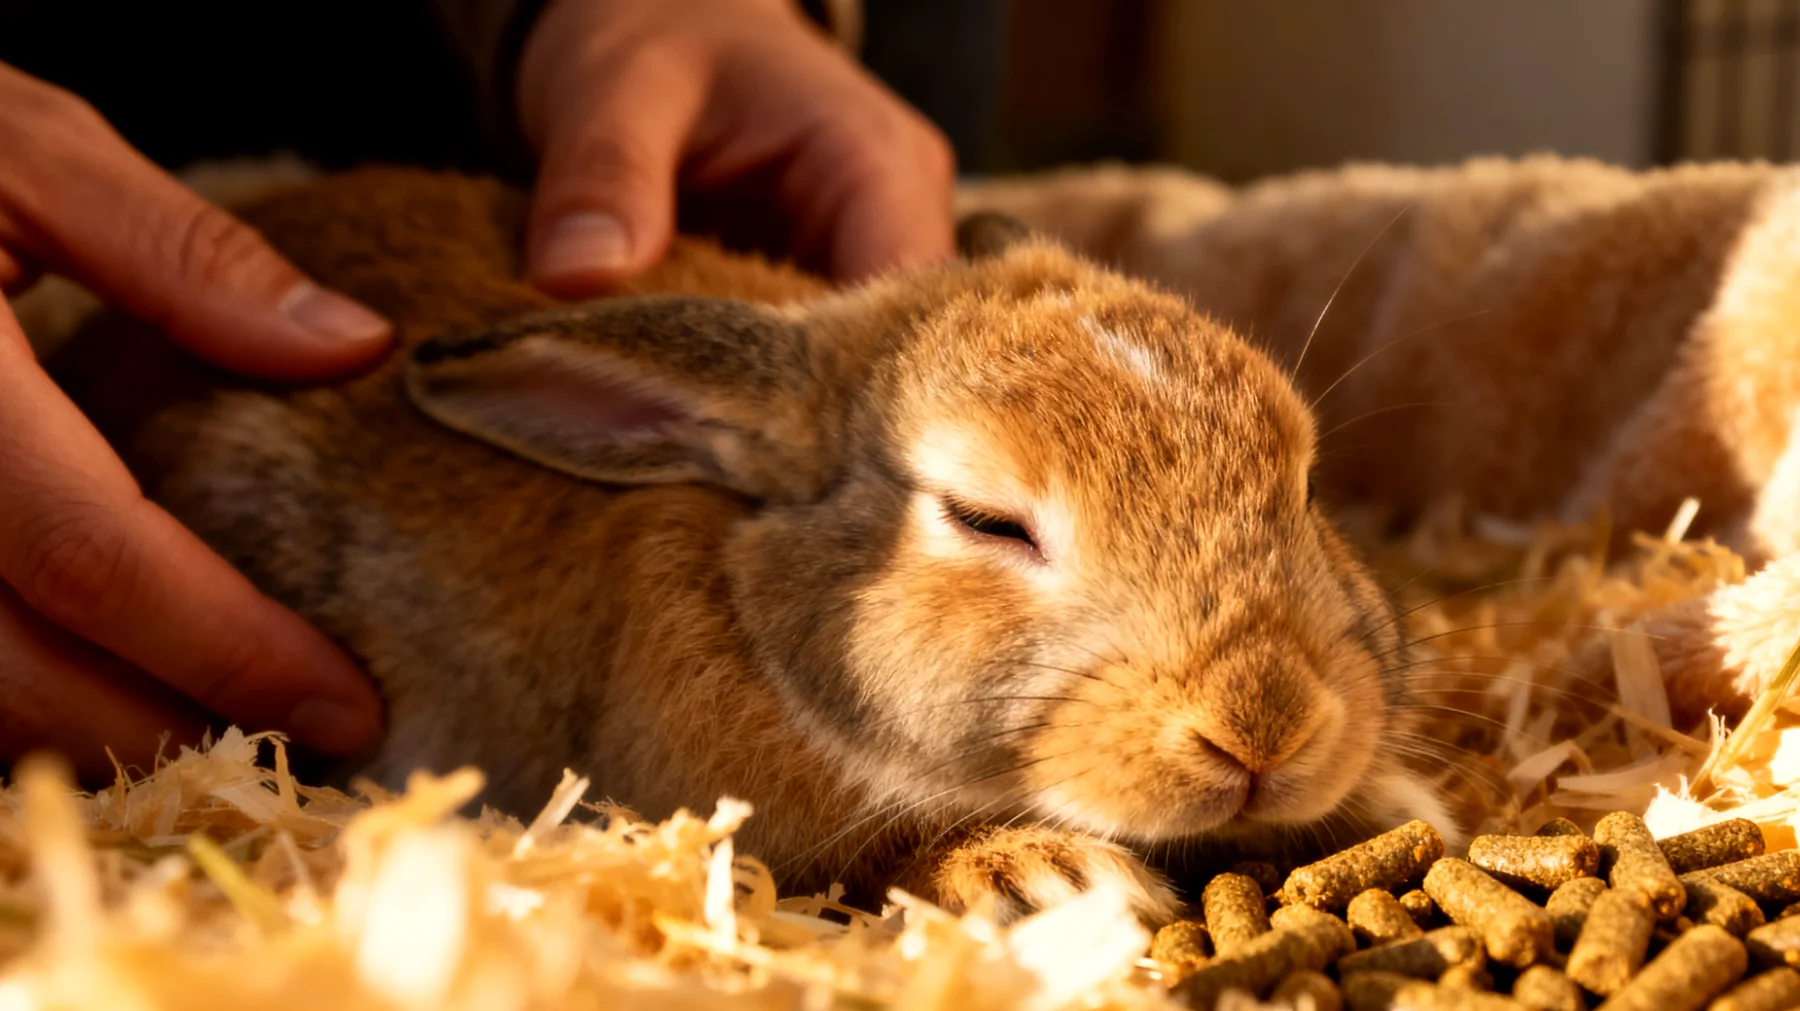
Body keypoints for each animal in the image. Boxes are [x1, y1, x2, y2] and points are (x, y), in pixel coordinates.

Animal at [51, 166, 1456, 923]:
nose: (1263, 726)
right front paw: (1049, 876)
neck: (758, 611)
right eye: (987, 520)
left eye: (1303, 480)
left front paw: (1399, 805)